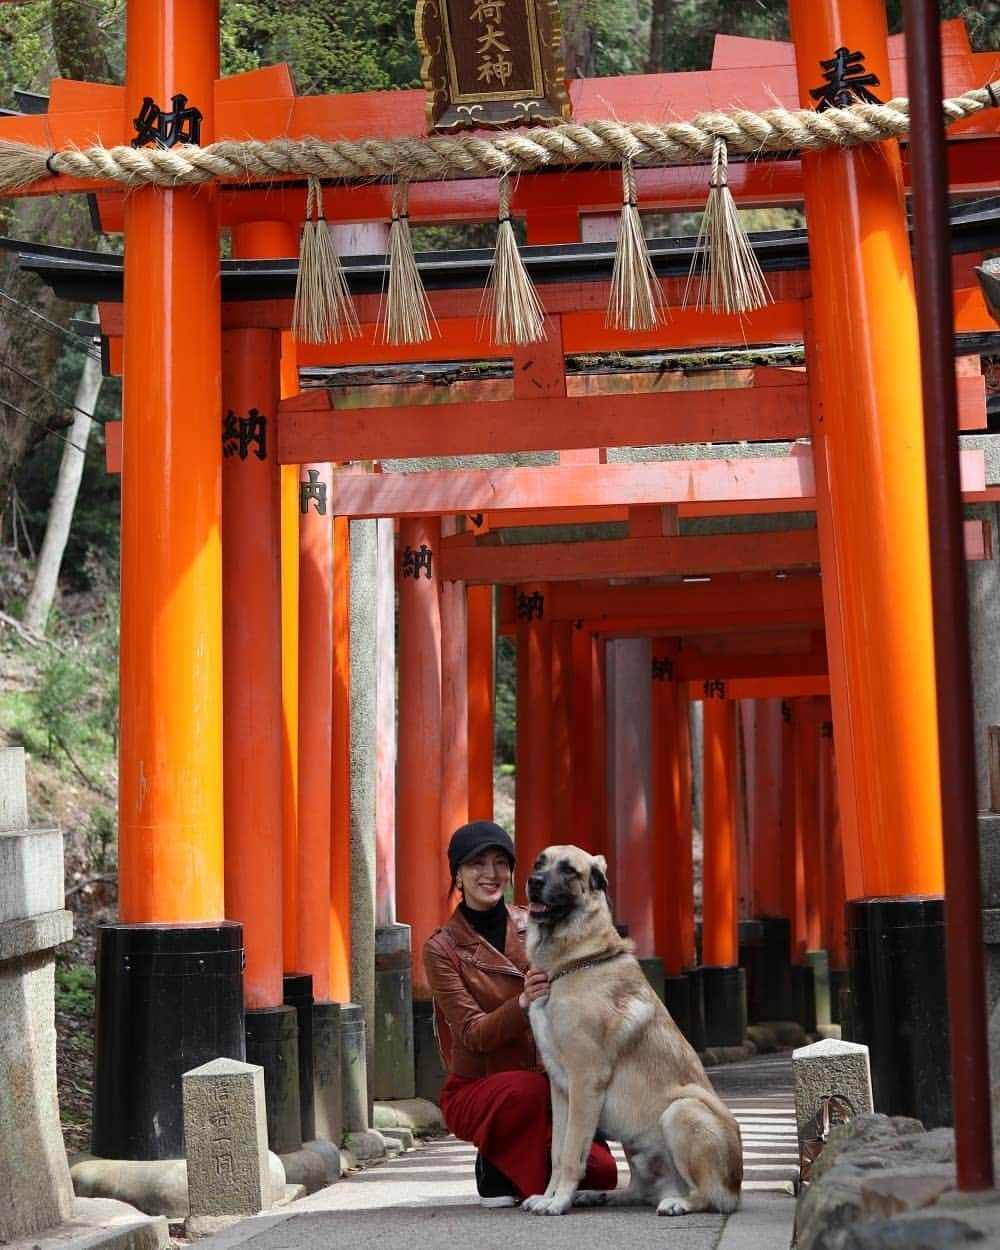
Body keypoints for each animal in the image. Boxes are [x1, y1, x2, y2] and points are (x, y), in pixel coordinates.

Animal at [522, 845, 740, 1215]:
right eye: (540, 862)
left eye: (569, 871)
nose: (533, 881)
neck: (574, 962)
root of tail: (736, 1187)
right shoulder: (560, 1088)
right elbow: (556, 1152)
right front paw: (550, 1196)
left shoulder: (585, 1081)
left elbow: (571, 1152)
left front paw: (559, 1201)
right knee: (638, 1189)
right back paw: (600, 1195)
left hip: (681, 1111)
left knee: (708, 1195)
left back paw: (677, 1202)